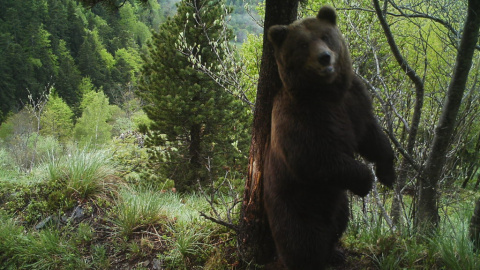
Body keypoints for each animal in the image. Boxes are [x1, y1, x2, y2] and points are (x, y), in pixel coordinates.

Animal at [264, 6, 396, 270]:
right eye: (303, 44)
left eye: (325, 36)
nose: (324, 57)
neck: (327, 92)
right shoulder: (301, 119)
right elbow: (314, 159)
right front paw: (366, 181)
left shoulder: (354, 100)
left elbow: (371, 135)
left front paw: (388, 172)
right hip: (294, 205)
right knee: (301, 241)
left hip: (338, 203)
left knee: (339, 222)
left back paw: (335, 252)